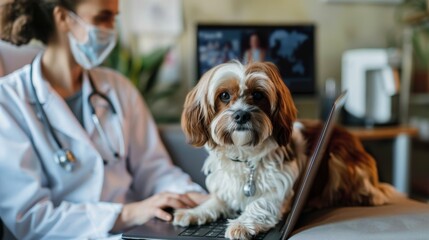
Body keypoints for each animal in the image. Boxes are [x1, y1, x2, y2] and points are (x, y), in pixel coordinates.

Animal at [171, 61, 394, 239]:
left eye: (258, 95)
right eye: (224, 96)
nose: (242, 115)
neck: (244, 155)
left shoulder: (280, 189)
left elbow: (260, 203)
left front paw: (241, 224)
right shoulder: (226, 187)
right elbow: (215, 201)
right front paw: (194, 212)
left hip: (338, 157)